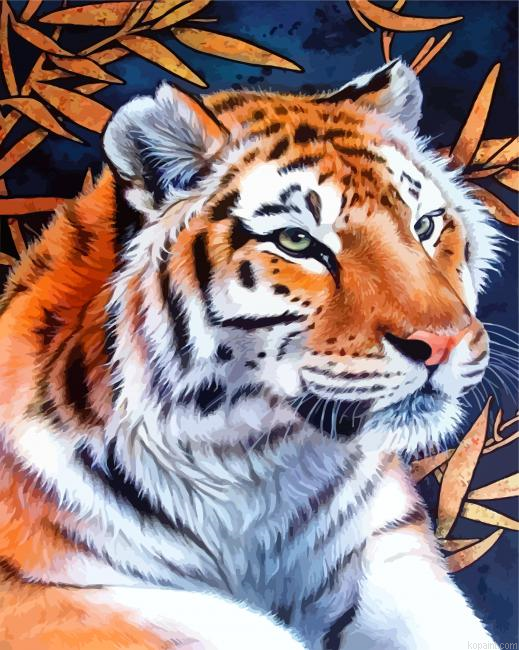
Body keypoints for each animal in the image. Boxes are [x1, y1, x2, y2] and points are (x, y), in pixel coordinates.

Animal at [0, 60, 501, 649]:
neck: (250, 461)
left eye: (423, 226)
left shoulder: (386, 546)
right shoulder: (39, 594)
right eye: (297, 242)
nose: (444, 342)